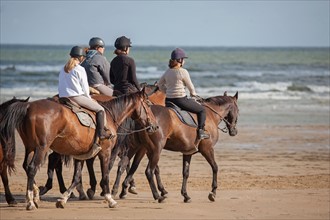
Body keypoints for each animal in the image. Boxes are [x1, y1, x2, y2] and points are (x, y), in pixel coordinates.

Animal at [0, 88, 157, 211]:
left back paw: (36, 195)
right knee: (32, 168)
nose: (155, 126)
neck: (110, 115)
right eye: (148, 104)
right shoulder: (105, 153)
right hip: (41, 148)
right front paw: (109, 198)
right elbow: (105, 175)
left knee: (27, 166)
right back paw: (30, 202)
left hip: (30, 147)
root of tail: (28, 107)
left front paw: (63, 199)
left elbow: (76, 178)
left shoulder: (81, 154)